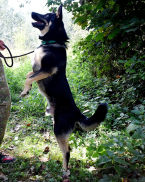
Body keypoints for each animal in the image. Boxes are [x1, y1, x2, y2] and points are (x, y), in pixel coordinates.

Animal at [20, 4, 107, 173]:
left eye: (47, 15)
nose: (32, 12)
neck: (52, 41)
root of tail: (77, 112)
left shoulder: (47, 69)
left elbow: (28, 77)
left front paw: (26, 89)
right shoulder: (38, 69)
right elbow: (29, 74)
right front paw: (27, 89)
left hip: (58, 130)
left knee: (67, 151)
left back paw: (64, 171)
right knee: (68, 148)